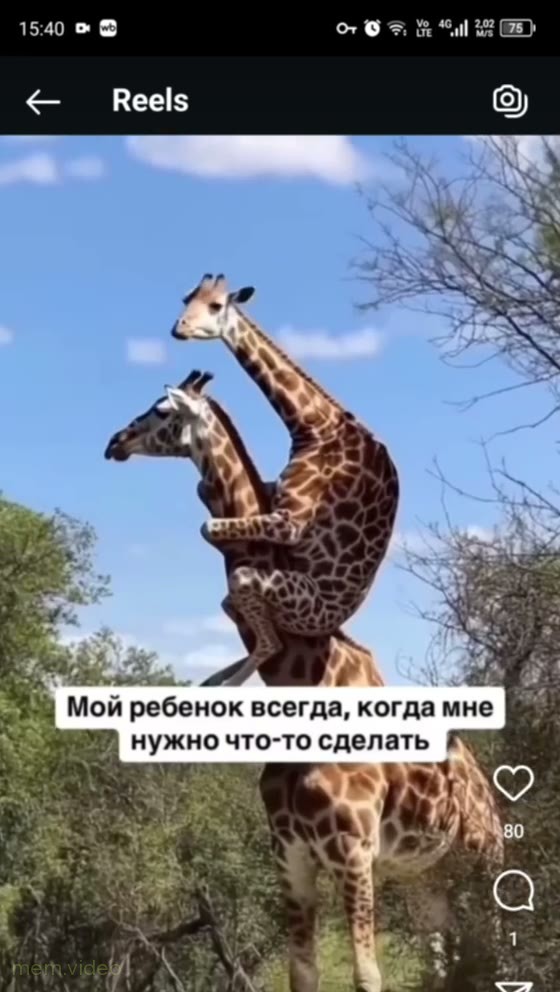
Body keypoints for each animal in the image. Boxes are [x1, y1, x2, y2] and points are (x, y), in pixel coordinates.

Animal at [105, 371, 504, 992]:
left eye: (162, 409)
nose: (114, 442)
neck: (304, 683)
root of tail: (486, 786)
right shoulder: (290, 855)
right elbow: (304, 974)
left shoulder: (353, 851)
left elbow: (366, 975)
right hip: (428, 877)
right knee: (450, 961)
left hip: (484, 859)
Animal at [168, 273, 400, 686]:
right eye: (186, 298)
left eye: (216, 305)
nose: (178, 328)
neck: (315, 426)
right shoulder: (272, 492)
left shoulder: (290, 522)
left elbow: (208, 527)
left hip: (288, 600)